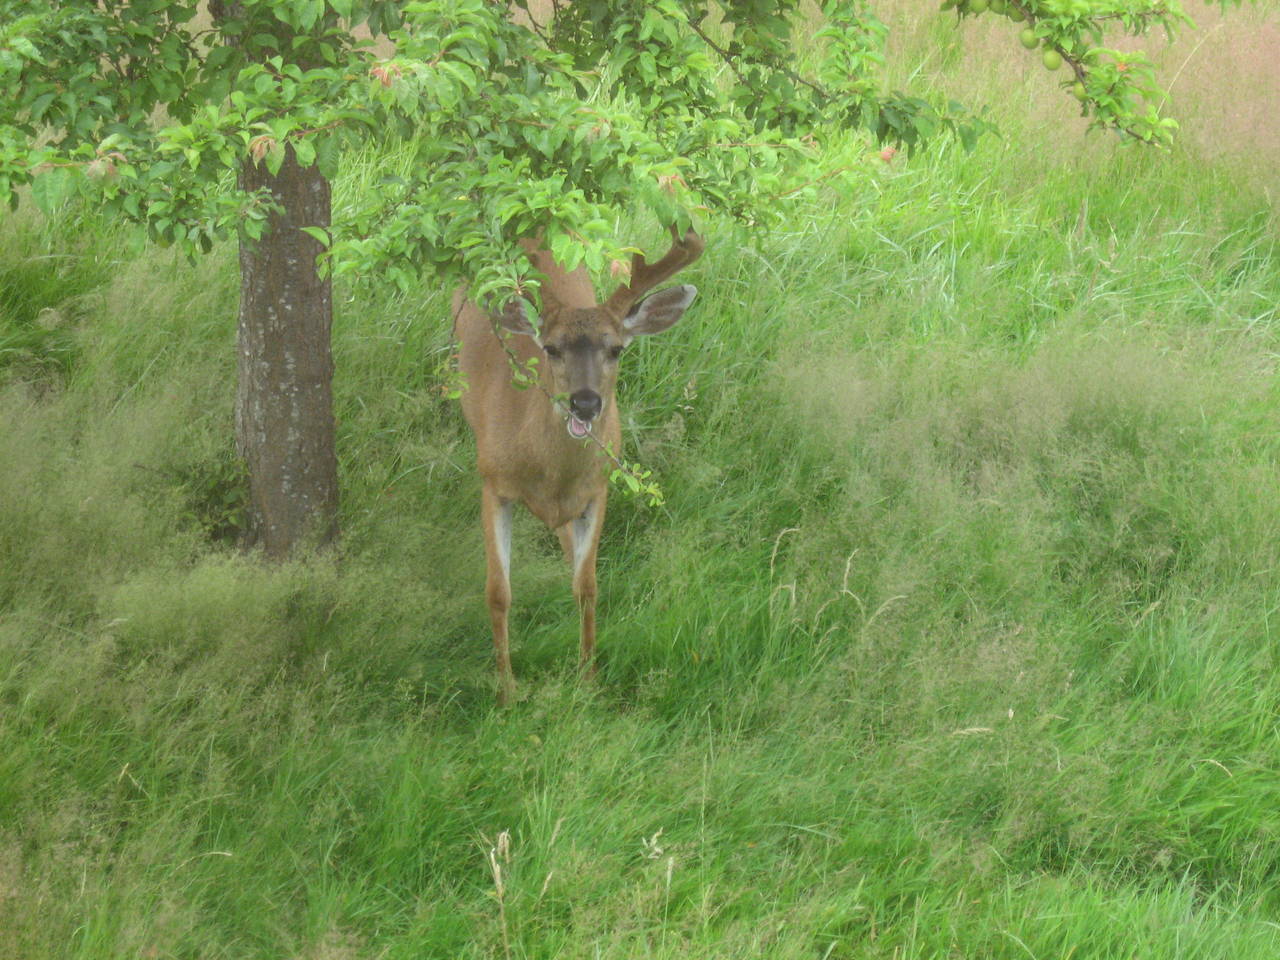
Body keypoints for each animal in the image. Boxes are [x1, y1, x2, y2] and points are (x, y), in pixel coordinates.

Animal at [455, 225, 706, 706]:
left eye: (617, 349)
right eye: (551, 348)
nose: (586, 403)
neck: (549, 477)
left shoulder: (598, 489)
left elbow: (587, 586)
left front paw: (588, 678)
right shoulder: (491, 483)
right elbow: (498, 592)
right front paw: (507, 689)